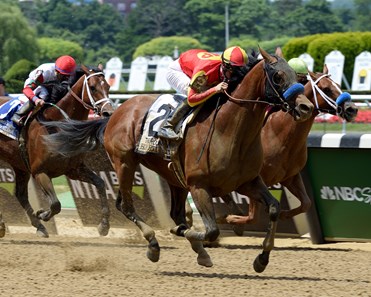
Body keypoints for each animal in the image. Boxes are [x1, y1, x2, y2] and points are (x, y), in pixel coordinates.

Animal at [0, 65, 115, 236]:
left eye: (108, 86)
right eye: (93, 87)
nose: (109, 112)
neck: (55, 125)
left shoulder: (74, 169)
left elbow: (101, 184)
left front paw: (104, 225)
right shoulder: (39, 171)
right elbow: (55, 204)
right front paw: (42, 213)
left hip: (19, 165)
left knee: (20, 194)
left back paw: (38, 227)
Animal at [42, 48, 316, 272]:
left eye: (297, 76)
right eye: (278, 76)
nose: (305, 107)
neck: (230, 130)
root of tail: (116, 112)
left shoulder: (247, 181)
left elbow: (273, 208)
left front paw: (261, 259)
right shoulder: (199, 185)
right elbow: (212, 229)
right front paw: (193, 235)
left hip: (173, 175)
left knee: (174, 212)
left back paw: (194, 246)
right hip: (125, 163)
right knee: (126, 205)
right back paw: (154, 244)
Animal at [221, 65, 358, 225]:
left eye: (338, 85)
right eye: (326, 89)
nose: (352, 109)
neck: (280, 135)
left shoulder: (290, 176)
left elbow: (306, 203)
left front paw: (282, 214)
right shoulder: (253, 180)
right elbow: (252, 218)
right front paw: (226, 218)